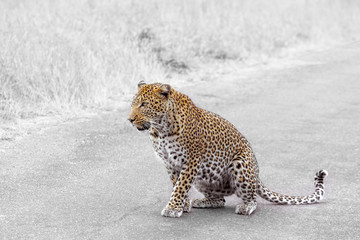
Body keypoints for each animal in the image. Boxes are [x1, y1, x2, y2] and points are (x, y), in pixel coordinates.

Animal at [128, 82, 328, 218]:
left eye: (143, 104)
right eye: (132, 104)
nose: (129, 119)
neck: (160, 128)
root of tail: (257, 174)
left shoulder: (191, 160)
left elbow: (180, 185)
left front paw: (172, 207)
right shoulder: (169, 163)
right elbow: (176, 184)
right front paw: (182, 205)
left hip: (240, 164)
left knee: (252, 198)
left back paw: (245, 207)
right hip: (203, 178)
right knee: (221, 200)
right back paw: (201, 201)